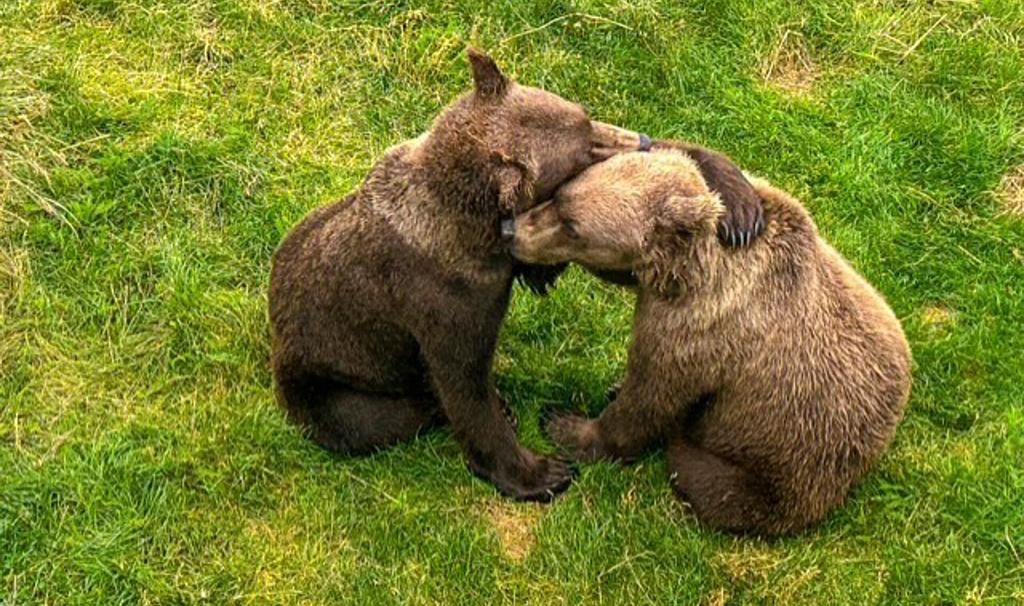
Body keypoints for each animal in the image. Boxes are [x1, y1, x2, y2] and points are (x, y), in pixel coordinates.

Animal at [508, 149, 912, 532]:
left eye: (573, 226)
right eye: (561, 194)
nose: (512, 230)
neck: (690, 274)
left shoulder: (700, 334)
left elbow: (649, 399)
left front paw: (563, 423)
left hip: (784, 464)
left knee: (714, 484)